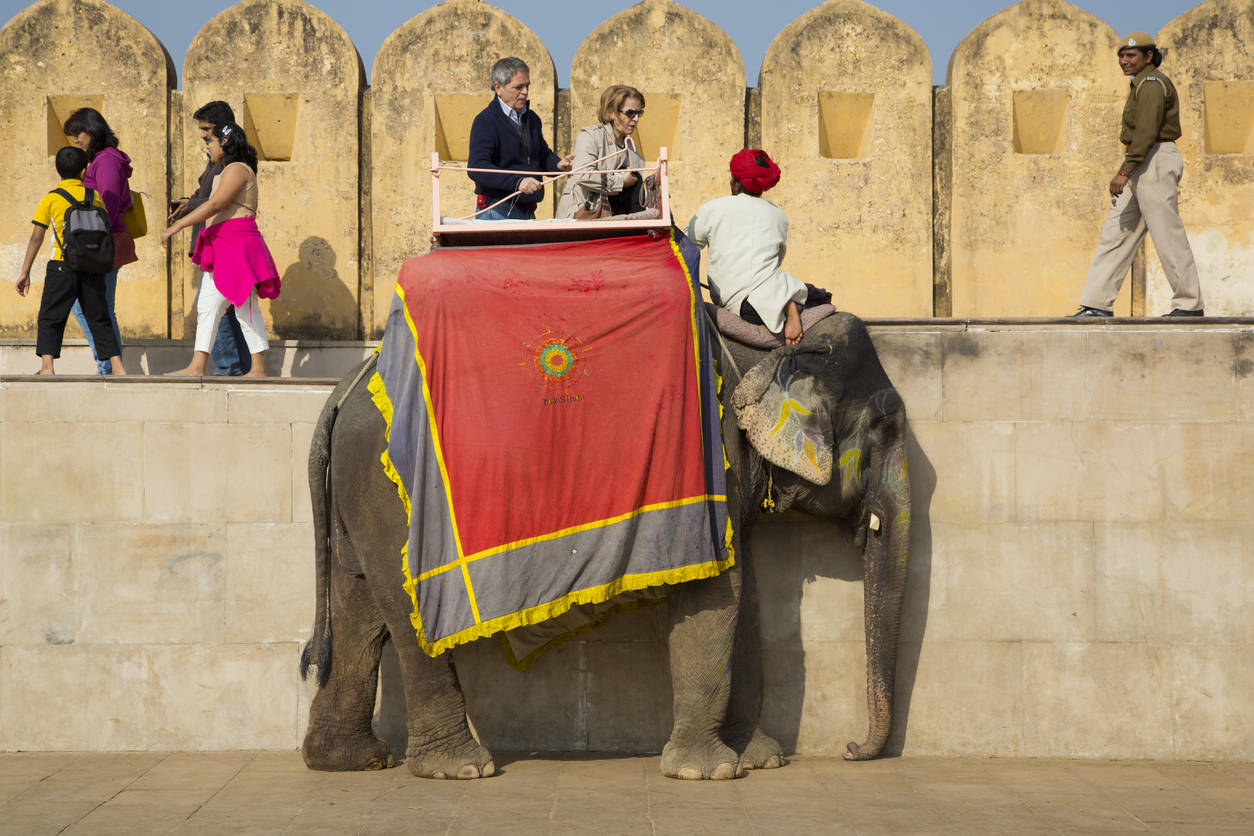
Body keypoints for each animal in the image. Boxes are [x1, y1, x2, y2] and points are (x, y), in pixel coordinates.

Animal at [303, 310, 912, 782]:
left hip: (360, 495)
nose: (851, 750)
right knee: (405, 614)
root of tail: (346, 386)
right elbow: (717, 595)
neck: (762, 349)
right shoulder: (708, 463)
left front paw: (759, 760)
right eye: (885, 425)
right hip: (390, 492)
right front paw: (708, 772)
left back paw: (348, 761)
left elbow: (747, 597)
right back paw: (463, 768)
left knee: (359, 607)